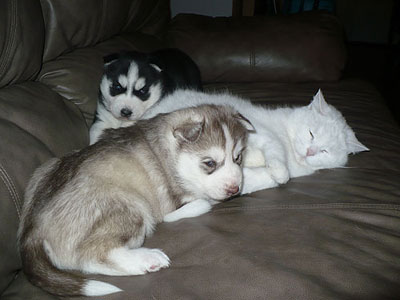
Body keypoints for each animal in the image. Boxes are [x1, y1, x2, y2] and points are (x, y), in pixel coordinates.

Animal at [18, 104, 253, 296]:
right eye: (210, 163)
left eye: (238, 157)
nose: (234, 188)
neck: (167, 150)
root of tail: (32, 231)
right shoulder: (178, 196)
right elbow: (198, 202)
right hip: (131, 205)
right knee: (91, 256)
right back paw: (147, 259)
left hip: (46, 168)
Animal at [143, 88, 368, 195]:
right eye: (311, 133)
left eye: (325, 151)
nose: (310, 152)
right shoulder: (260, 132)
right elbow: (275, 147)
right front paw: (279, 170)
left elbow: (265, 179)